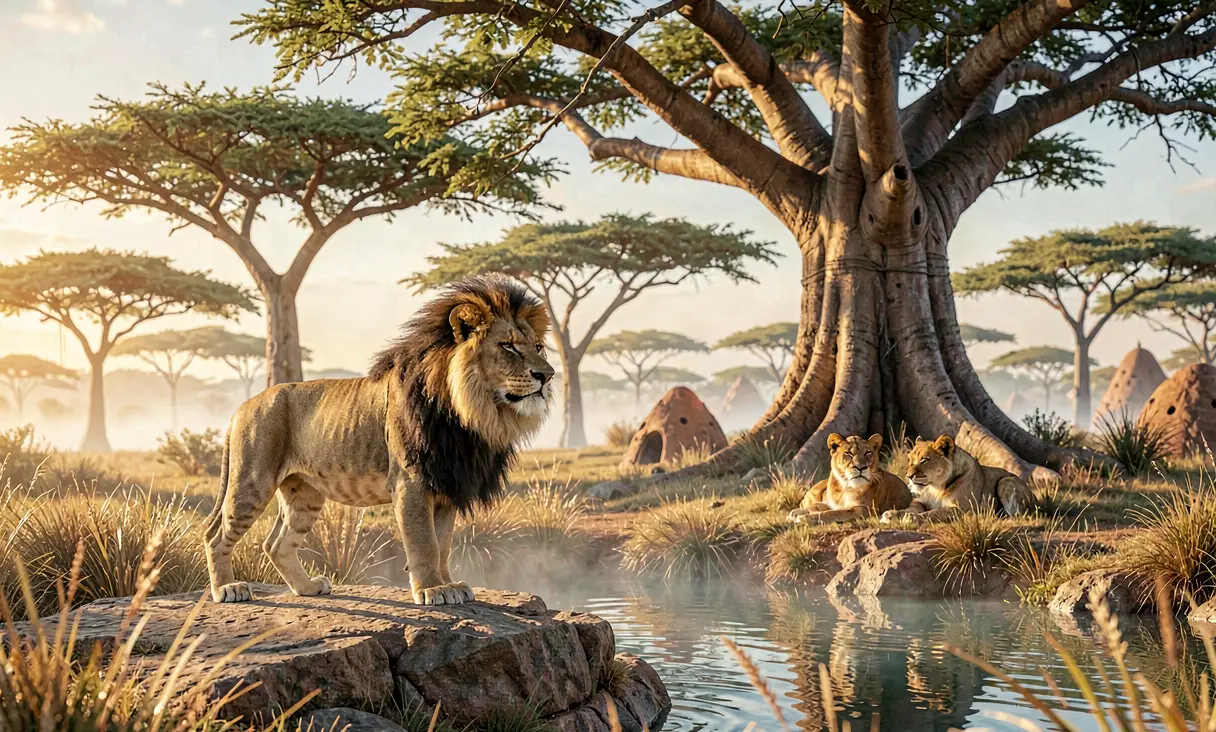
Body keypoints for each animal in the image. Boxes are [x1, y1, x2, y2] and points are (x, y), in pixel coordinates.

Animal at [204, 275, 555, 606]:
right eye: (508, 346)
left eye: (538, 347)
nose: (547, 375)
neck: (470, 411)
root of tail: (243, 406)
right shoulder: (411, 481)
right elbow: (424, 542)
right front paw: (433, 590)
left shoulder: (445, 483)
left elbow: (442, 543)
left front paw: (449, 584)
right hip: (252, 481)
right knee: (216, 534)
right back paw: (227, 589)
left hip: (304, 493)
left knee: (276, 543)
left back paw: (307, 587)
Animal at [880, 435, 1035, 524]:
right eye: (909, 459)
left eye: (924, 460)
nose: (908, 476)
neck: (935, 487)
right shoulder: (919, 501)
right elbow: (910, 508)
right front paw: (890, 515)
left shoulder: (962, 509)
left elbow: (934, 513)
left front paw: (912, 519)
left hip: (1006, 481)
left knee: (1019, 515)